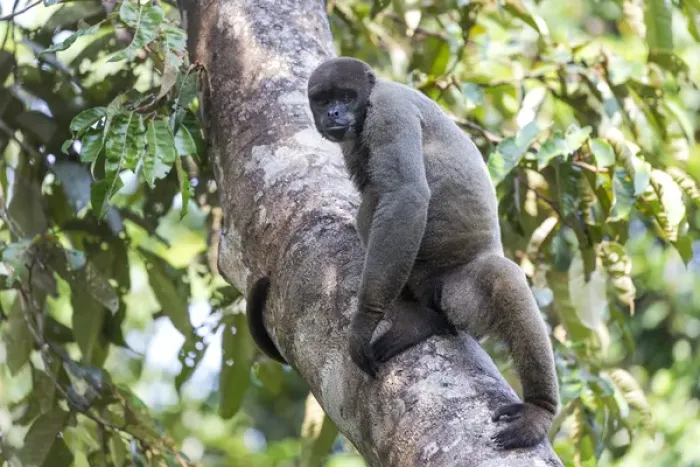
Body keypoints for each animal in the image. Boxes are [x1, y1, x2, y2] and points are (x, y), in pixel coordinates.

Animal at [306, 57, 560, 449]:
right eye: (323, 99)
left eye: (346, 97)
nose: (334, 112)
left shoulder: (390, 111)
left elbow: (407, 195)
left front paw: (364, 322)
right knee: (372, 203)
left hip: (462, 290)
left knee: (501, 277)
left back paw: (539, 409)